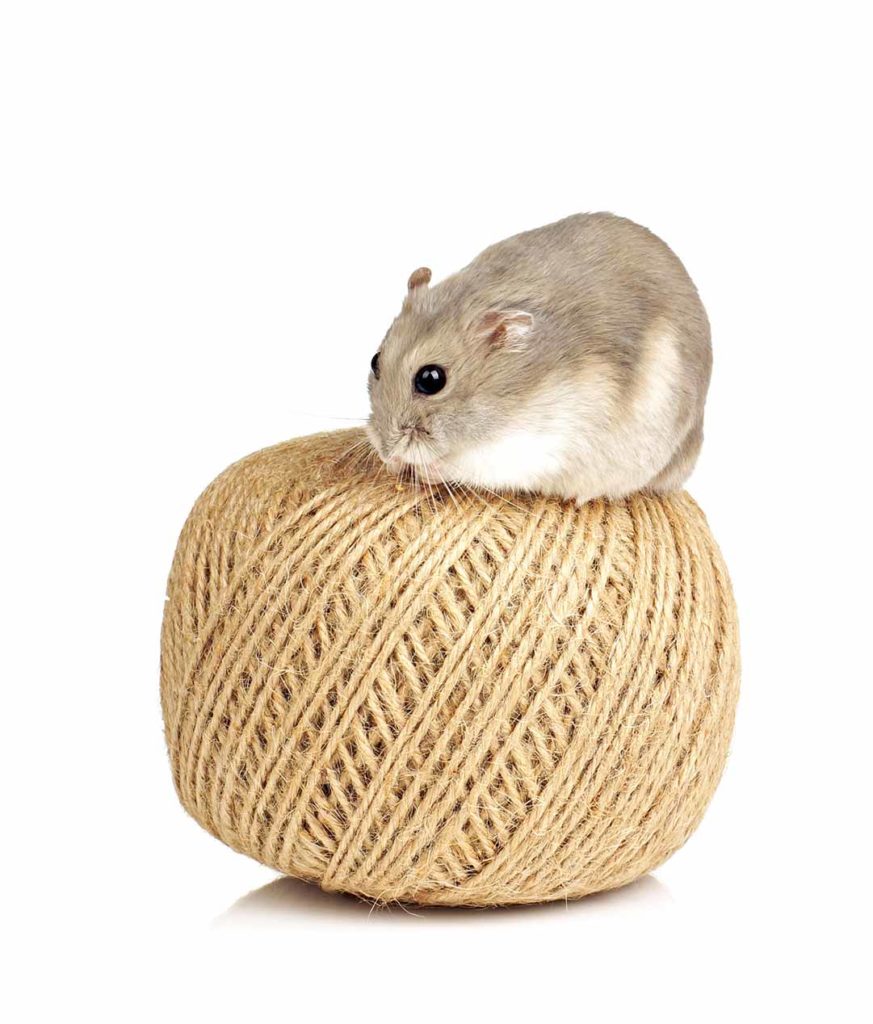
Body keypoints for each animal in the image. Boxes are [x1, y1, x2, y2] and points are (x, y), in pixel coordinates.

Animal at [366, 212, 711, 505]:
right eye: (375, 361)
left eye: (431, 379)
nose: (385, 452)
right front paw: (395, 466)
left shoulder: (532, 446)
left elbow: (467, 467)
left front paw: (421, 470)